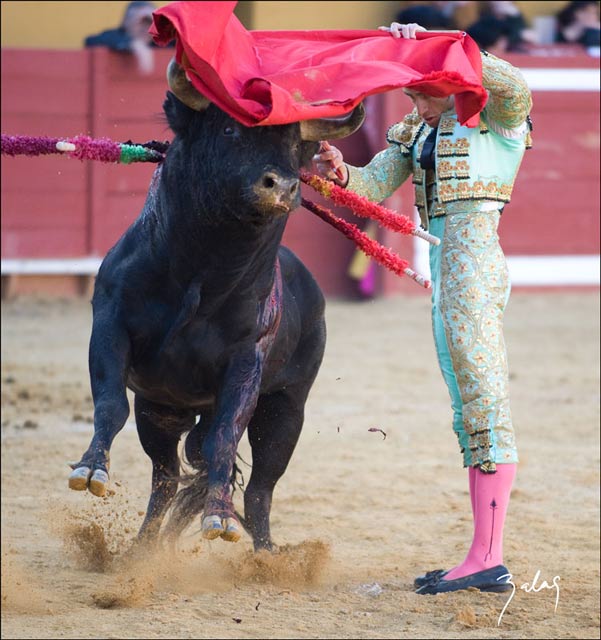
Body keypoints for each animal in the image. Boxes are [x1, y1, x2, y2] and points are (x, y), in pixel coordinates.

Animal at [68, 79, 364, 552]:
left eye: (296, 145)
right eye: (228, 130)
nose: (281, 187)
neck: (201, 274)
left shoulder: (246, 361)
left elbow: (224, 439)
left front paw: (220, 517)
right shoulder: (110, 325)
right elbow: (111, 403)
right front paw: (91, 469)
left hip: (286, 408)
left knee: (259, 489)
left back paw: (266, 557)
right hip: (160, 409)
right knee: (166, 479)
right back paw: (142, 551)